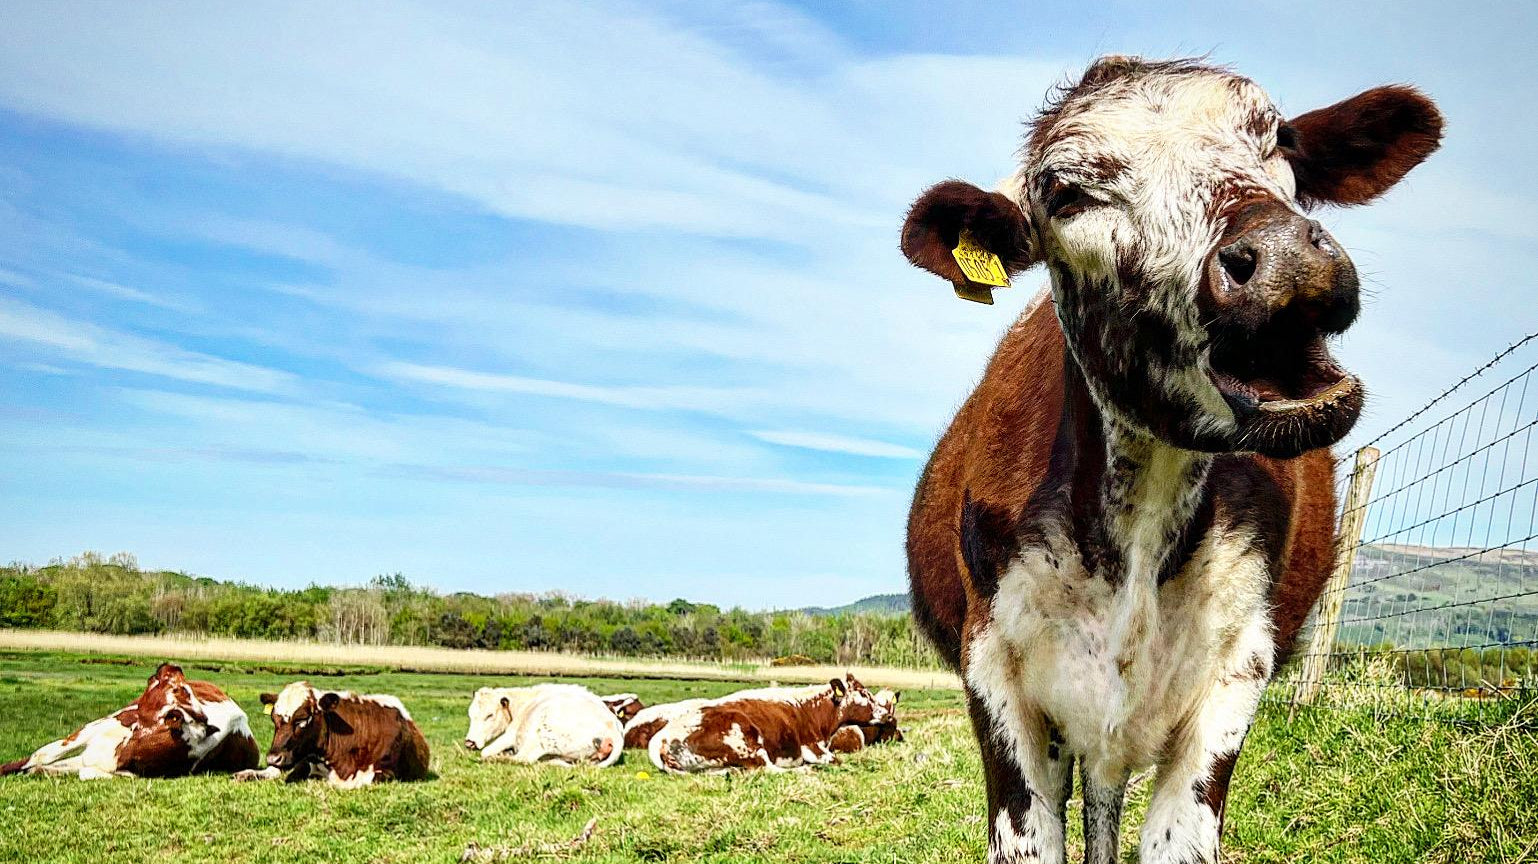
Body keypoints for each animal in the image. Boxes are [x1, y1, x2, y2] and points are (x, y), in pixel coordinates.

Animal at [0, 662, 258, 779]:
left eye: (180, 689)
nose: (171, 666)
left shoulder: (126, 771)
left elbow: (83, 772)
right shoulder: (96, 727)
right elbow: (41, 754)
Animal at [464, 684, 622, 767]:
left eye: (490, 715)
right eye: (470, 714)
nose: (469, 742)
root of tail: (612, 725)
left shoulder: (510, 735)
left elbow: (485, 752)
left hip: (539, 738)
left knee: (524, 758)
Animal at [648, 674, 890, 774]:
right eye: (865, 694)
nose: (887, 713)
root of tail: (661, 740)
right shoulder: (812, 747)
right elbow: (836, 760)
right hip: (746, 741)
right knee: (767, 769)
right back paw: (805, 770)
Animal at [900, 56, 1441, 864]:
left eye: (1279, 136)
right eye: (1067, 193)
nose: (1284, 257)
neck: (1139, 522)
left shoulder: (1238, 668)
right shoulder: (993, 674)